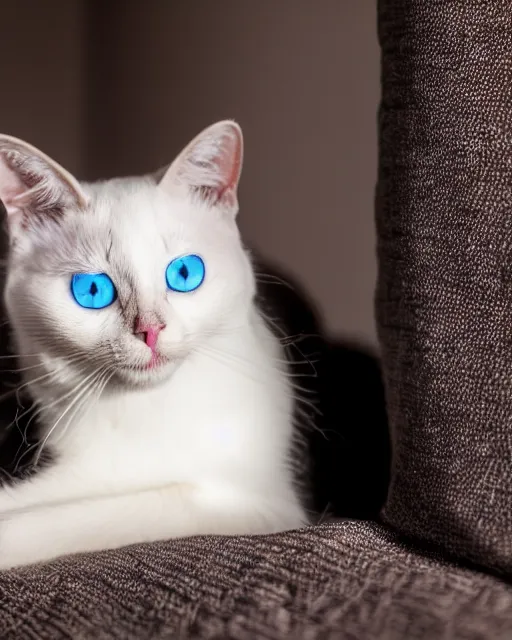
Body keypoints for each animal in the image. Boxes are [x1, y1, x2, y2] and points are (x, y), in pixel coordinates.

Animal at [0, 121, 306, 568]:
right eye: (92, 290)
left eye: (185, 273)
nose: (150, 330)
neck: (146, 411)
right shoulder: (87, 469)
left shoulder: (253, 502)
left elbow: (98, 514)